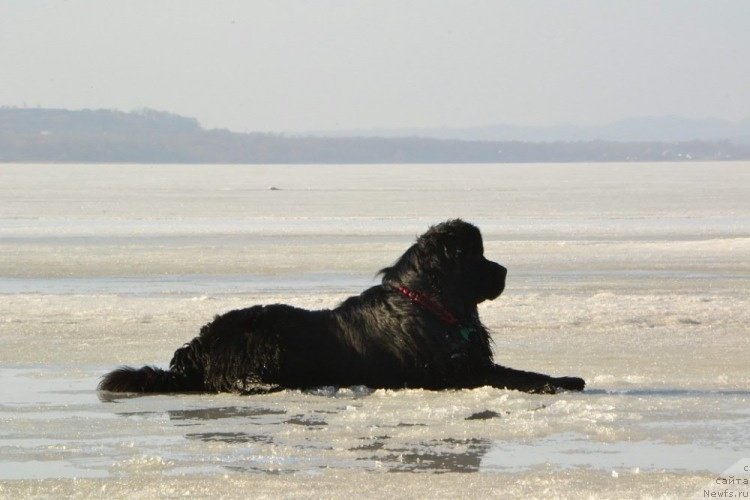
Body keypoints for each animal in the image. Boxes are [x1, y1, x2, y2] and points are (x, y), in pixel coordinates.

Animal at [98, 219, 588, 394]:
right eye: (475, 255)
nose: (504, 271)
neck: (432, 306)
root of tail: (195, 347)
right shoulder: (453, 373)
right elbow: (515, 377)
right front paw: (556, 385)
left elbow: (521, 370)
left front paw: (569, 377)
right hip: (268, 339)